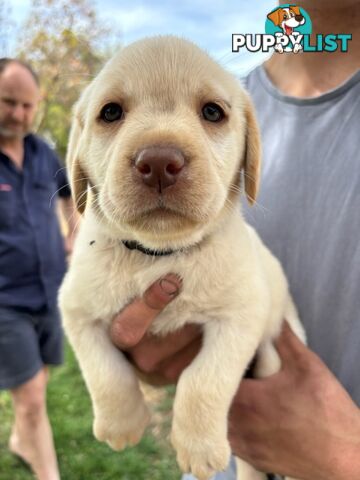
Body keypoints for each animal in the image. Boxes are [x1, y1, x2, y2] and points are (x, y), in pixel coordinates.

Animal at [58, 34, 304, 480]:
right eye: (110, 112)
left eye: (212, 112)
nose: (158, 162)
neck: (159, 254)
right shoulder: (75, 311)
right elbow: (105, 373)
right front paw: (121, 425)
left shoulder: (241, 317)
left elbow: (204, 380)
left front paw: (200, 448)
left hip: (277, 344)